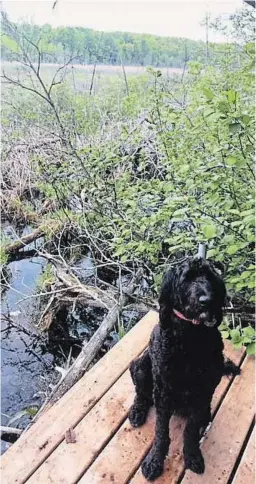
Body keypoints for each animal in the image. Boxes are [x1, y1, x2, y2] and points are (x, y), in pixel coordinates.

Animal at [130, 258, 240, 480]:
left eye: (209, 277)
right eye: (186, 279)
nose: (206, 300)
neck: (191, 337)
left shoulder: (204, 391)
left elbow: (190, 430)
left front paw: (192, 455)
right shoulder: (163, 392)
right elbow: (161, 433)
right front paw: (154, 461)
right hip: (141, 367)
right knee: (141, 393)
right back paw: (137, 411)